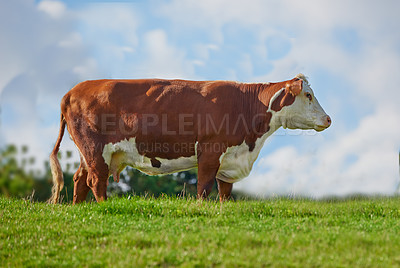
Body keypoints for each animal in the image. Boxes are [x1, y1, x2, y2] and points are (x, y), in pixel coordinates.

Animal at [49, 73, 332, 203]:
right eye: (308, 95)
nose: (329, 119)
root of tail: (74, 90)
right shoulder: (210, 150)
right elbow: (204, 186)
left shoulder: (229, 158)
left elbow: (225, 190)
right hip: (95, 149)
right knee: (96, 180)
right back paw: (104, 206)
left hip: (88, 152)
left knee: (80, 179)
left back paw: (79, 208)